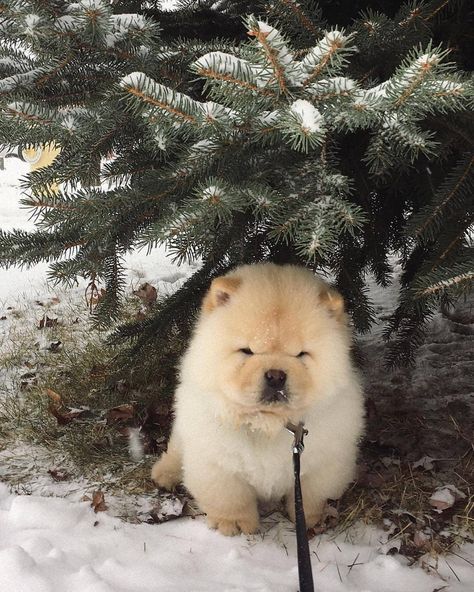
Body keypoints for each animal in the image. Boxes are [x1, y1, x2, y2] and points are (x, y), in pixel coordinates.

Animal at [150, 264, 364, 536]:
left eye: (301, 355)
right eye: (247, 351)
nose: (275, 376)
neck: (267, 424)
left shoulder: (322, 463)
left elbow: (309, 495)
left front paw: (309, 520)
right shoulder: (217, 462)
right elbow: (230, 497)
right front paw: (234, 524)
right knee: (176, 450)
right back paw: (165, 474)